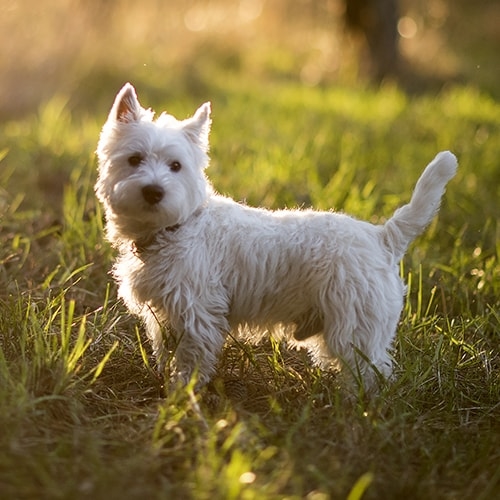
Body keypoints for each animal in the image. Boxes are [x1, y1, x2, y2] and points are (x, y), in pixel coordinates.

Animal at [94, 84, 458, 390]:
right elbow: (166, 351)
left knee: (374, 373)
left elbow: (188, 361)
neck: (175, 228)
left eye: (175, 165)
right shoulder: (165, 315)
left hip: (355, 328)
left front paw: (181, 396)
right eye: (134, 159)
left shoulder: (198, 314)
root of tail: (381, 236)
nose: (153, 191)